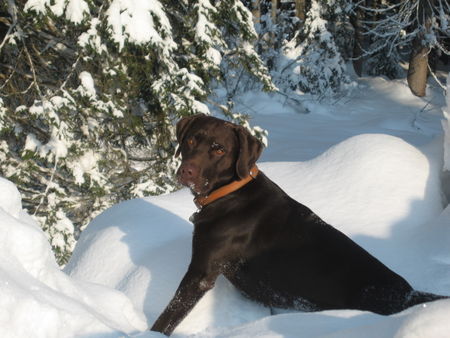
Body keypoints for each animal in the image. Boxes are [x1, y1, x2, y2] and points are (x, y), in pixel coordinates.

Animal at [152, 114, 446, 336]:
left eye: (219, 149)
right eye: (191, 140)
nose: (186, 171)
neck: (230, 193)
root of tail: (409, 295)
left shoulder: (200, 274)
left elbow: (166, 318)